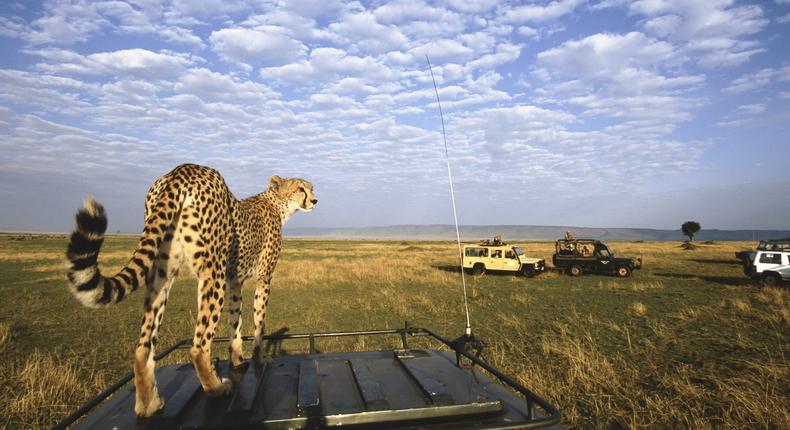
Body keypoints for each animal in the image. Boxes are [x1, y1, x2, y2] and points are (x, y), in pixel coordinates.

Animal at [65, 164, 318, 416]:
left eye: (311, 188)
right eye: (300, 188)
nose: (315, 200)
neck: (276, 204)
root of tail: (182, 170)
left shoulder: (234, 281)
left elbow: (235, 321)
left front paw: (237, 358)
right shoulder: (263, 278)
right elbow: (259, 321)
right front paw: (261, 357)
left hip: (162, 273)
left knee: (142, 347)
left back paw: (149, 403)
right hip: (212, 271)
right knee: (198, 346)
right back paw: (216, 388)